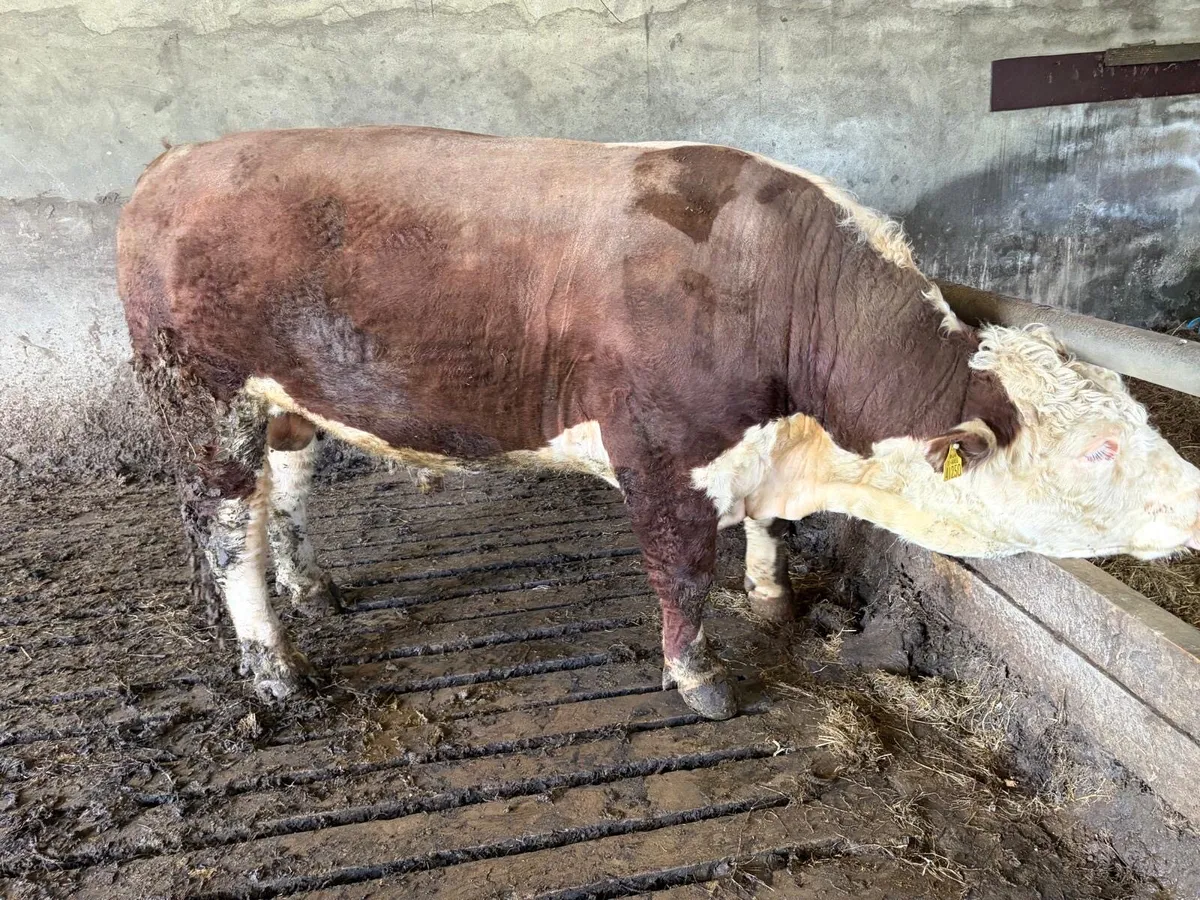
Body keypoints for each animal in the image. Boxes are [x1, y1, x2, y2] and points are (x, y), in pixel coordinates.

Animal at [116, 126, 1200, 720]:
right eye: (1101, 449)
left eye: (1136, 414)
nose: (1196, 500)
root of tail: (174, 164)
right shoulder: (662, 454)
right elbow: (680, 570)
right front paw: (699, 677)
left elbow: (772, 528)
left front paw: (771, 593)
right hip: (203, 400)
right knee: (226, 527)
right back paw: (276, 669)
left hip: (289, 399)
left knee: (286, 488)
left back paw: (315, 586)